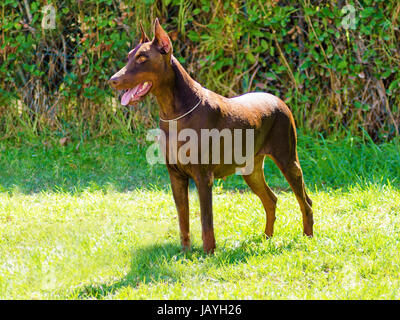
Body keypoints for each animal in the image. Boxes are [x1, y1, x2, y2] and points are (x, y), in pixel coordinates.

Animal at [108, 18, 312, 254]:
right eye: (129, 56)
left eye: (142, 58)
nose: (112, 80)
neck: (173, 113)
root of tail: (279, 101)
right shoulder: (176, 176)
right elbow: (183, 218)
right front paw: (185, 253)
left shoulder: (203, 176)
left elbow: (206, 220)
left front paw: (208, 253)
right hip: (250, 169)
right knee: (271, 200)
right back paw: (267, 238)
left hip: (288, 159)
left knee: (305, 202)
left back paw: (307, 238)